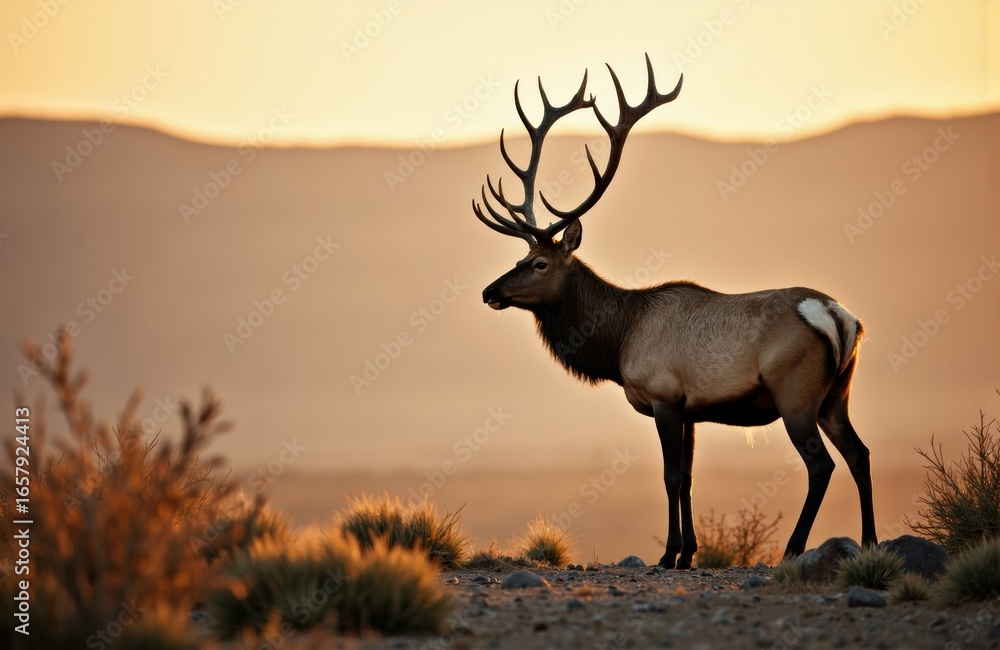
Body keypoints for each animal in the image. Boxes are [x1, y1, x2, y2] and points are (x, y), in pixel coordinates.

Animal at [472, 55, 877, 569]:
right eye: (520, 257)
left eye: (539, 263)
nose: (490, 292)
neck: (618, 341)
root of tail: (839, 317)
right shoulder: (691, 409)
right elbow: (687, 477)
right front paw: (688, 553)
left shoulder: (664, 396)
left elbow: (669, 476)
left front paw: (668, 554)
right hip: (837, 395)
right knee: (860, 454)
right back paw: (870, 542)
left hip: (795, 394)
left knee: (821, 465)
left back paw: (792, 549)